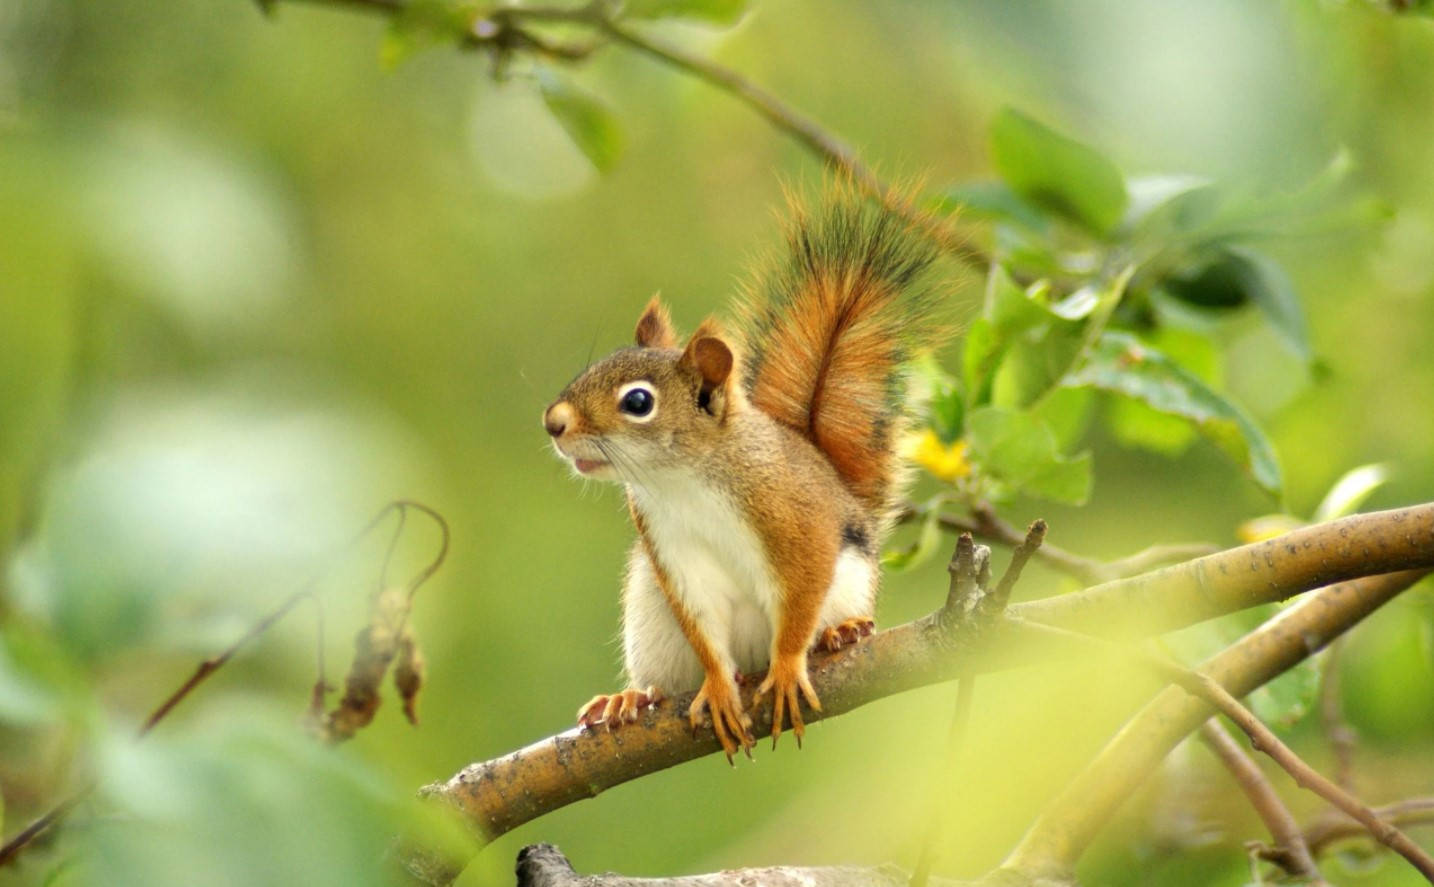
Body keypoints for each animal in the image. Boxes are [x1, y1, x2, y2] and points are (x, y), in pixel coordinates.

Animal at [542, 197, 946, 762]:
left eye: (638, 402)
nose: (553, 422)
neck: (682, 480)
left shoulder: (797, 519)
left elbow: (800, 595)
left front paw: (788, 667)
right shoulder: (671, 550)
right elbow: (704, 626)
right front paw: (716, 686)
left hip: (848, 582)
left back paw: (841, 632)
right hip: (650, 618)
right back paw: (631, 697)